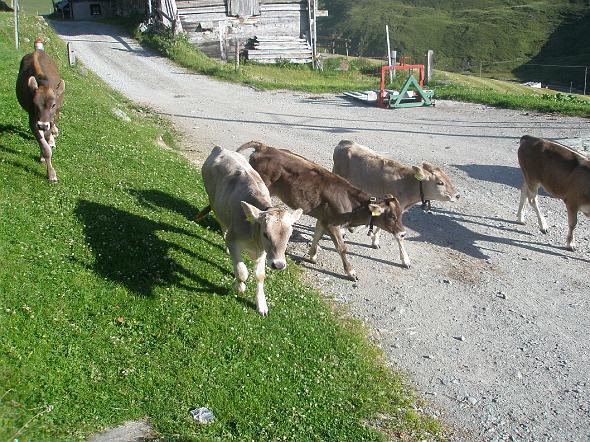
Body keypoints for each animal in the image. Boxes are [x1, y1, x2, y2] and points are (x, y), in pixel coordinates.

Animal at [16, 47, 65, 183]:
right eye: (34, 103)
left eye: (53, 105)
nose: (42, 125)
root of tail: (37, 50)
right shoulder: (33, 119)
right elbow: (45, 147)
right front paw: (51, 173)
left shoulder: (54, 114)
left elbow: (48, 134)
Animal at [196, 146, 302, 316]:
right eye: (266, 234)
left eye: (289, 236)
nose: (279, 265)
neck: (253, 235)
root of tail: (221, 149)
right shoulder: (234, 239)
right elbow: (242, 271)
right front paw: (239, 286)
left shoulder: (264, 252)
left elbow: (260, 275)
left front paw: (261, 304)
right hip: (214, 203)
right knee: (223, 225)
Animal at [237, 141, 408, 280]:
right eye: (392, 217)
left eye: (401, 215)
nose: (403, 233)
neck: (352, 205)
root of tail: (265, 147)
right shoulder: (333, 224)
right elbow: (342, 248)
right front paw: (350, 272)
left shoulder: (323, 218)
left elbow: (317, 235)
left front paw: (312, 256)